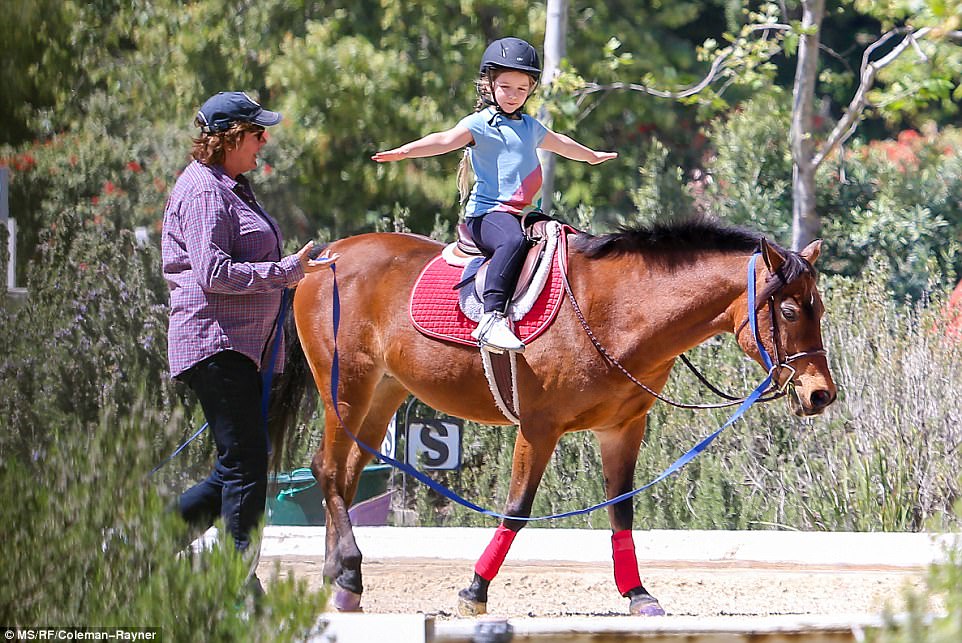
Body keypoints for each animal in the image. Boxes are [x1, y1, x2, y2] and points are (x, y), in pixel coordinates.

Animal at [276, 219, 832, 616]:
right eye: (788, 312)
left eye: (819, 309)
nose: (821, 394)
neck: (615, 311)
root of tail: (324, 258)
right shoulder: (538, 429)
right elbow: (517, 510)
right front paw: (475, 589)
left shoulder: (622, 429)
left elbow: (621, 510)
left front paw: (637, 593)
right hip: (345, 389)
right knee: (327, 470)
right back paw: (347, 571)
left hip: (383, 392)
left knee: (345, 477)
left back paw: (339, 583)